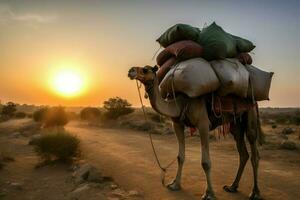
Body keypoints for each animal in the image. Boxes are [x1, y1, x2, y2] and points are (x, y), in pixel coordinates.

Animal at [127, 65, 264, 199]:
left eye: (145, 69)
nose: (130, 71)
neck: (182, 102)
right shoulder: (177, 124)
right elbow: (180, 157)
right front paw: (174, 184)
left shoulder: (203, 124)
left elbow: (206, 162)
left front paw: (209, 193)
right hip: (236, 125)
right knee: (243, 153)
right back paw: (232, 187)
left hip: (250, 113)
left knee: (254, 149)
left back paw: (255, 192)